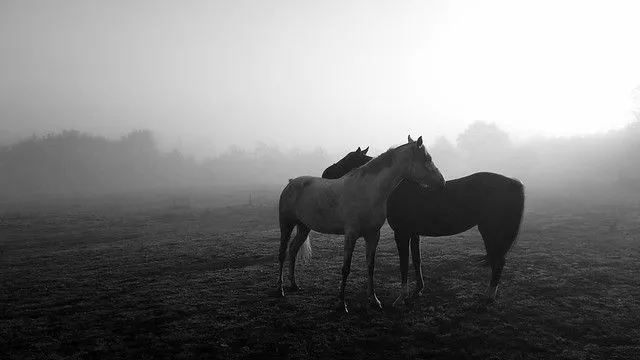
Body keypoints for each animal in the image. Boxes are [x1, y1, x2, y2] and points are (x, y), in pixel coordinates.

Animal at [322, 144, 528, 306]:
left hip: (491, 231)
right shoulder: (414, 233)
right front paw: (418, 289)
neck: (397, 188)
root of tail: (515, 183)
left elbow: (404, 263)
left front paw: (402, 297)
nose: (325, 173)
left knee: (498, 262)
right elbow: (416, 260)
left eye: (348, 159)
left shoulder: (402, 233)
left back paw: (489, 296)